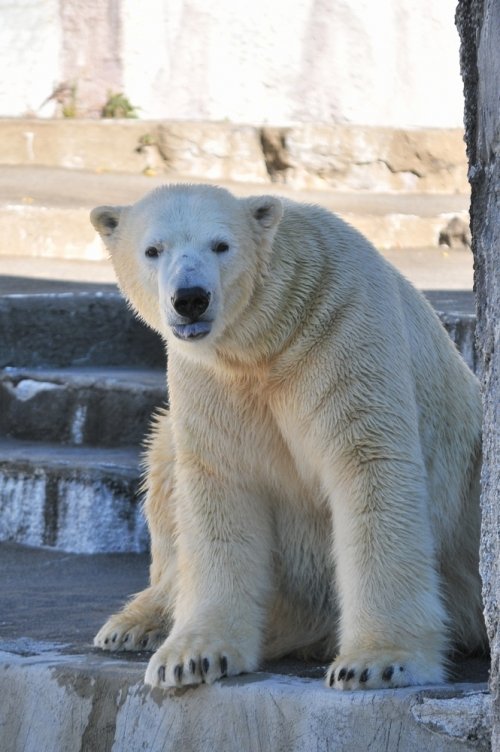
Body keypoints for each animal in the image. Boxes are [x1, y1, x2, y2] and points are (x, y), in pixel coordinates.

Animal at [90, 185, 484, 692]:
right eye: (153, 250)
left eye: (222, 245)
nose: (191, 298)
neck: (267, 339)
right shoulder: (211, 380)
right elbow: (218, 483)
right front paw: (191, 657)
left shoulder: (343, 332)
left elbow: (369, 466)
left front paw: (376, 662)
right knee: (163, 458)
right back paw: (133, 624)